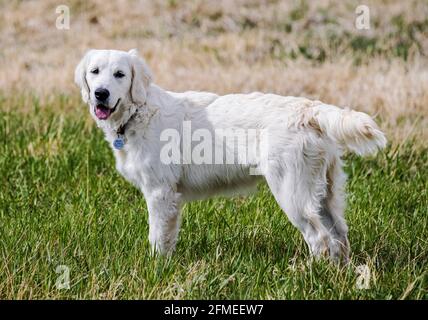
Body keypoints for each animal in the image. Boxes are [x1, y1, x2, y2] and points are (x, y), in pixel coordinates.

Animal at [75, 48, 386, 262]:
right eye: (95, 71)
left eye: (120, 74)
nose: (100, 93)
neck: (138, 112)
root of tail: (310, 110)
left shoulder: (160, 192)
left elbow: (158, 237)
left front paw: (156, 268)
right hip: (324, 191)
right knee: (339, 235)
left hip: (291, 192)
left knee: (319, 238)